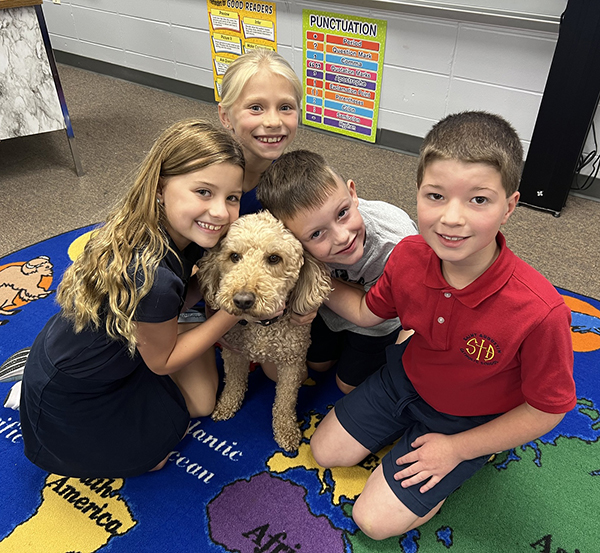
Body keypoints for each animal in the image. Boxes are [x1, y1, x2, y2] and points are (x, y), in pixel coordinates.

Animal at [197, 210, 330, 448]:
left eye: (274, 258)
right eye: (234, 256)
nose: (242, 300)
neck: (262, 328)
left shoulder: (292, 362)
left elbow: (286, 400)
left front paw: (286, 430)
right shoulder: (233, 353)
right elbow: (233, 382)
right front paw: (226, 405)